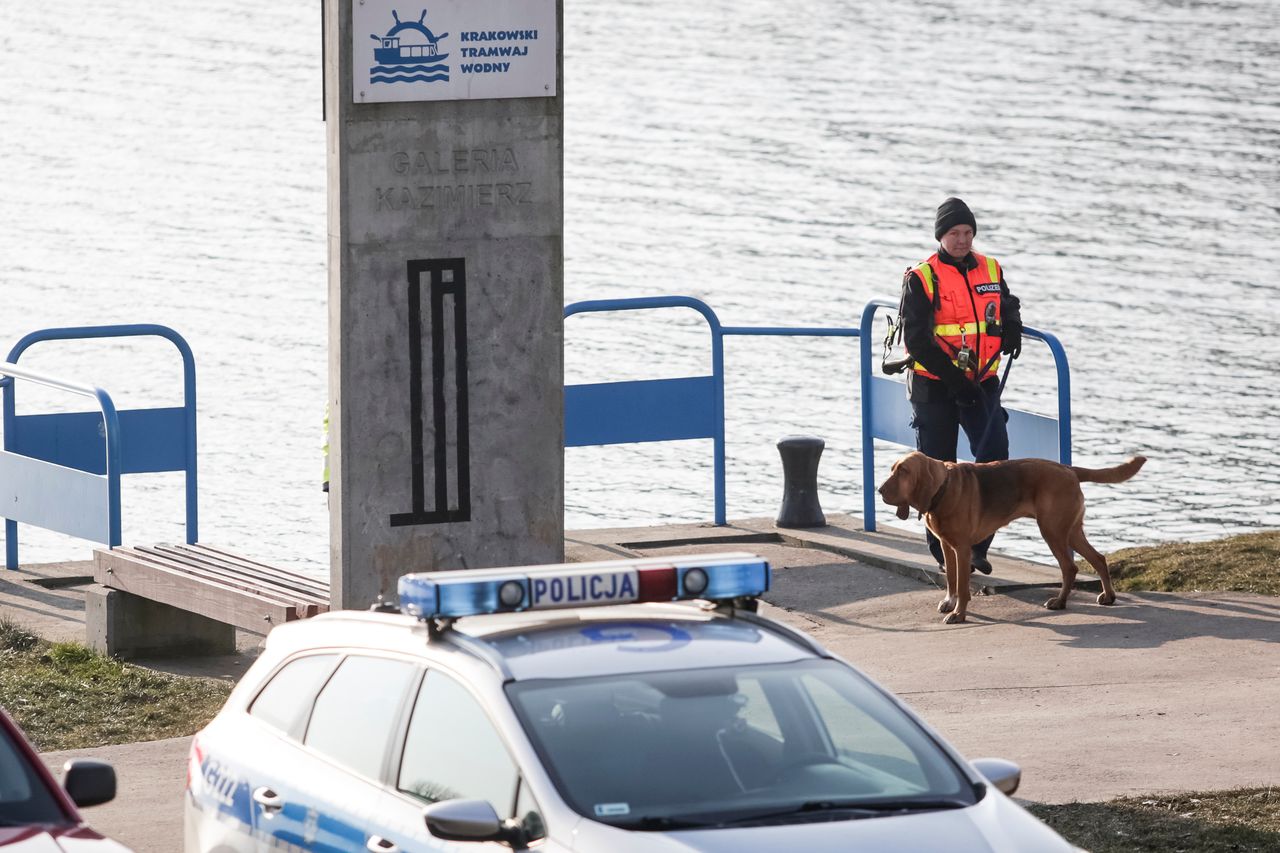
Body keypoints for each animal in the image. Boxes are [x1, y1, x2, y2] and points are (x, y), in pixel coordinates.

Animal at [875, 448, 1146, 622]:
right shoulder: (947, 546)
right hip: (1070, 532)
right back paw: (1108, 596)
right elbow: (951, 579)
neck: (943, 488)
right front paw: (950, 603)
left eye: (903, 471)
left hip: (1053, 531)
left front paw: (959, 614)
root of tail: (1068, 469)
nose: (879, 490)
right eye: (893, 469)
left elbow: (962, 584)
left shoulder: (962, 549)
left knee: (1070, 567)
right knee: (1098, 558)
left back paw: (1059, 602)